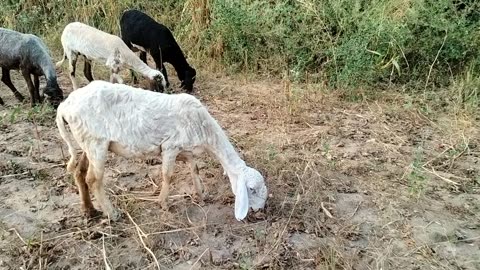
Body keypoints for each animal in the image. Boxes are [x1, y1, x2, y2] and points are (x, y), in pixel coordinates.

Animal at [56, 80, 268, 221]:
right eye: (252, 189)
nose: (261, 210)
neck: (205, 130)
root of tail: (65, 106)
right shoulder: (170, 147)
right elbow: (168, 176)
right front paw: (163, 203)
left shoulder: (186, 150)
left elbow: (195, 170)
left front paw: (201, 195)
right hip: (96, 142)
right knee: (93, 180)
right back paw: (113, 214)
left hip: (86, 141)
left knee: (79, 172)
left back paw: (89, 210)